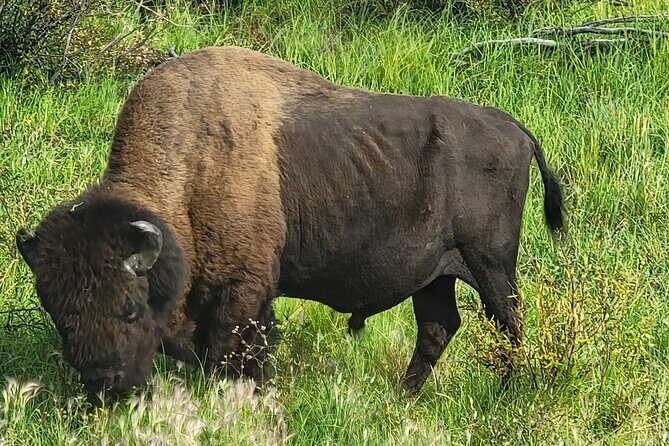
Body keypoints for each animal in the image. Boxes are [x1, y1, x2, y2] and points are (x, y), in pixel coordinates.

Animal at [16, 46, 564, 396]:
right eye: (60, 314)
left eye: (130, 309)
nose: (104, 384)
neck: (190, 170)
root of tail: (514, 127)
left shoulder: (243, 293)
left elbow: (237, 353)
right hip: (435, 274)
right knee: (437, 327)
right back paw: (401, 397)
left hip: (490, 265)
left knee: (508, 323)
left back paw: (507, 391)